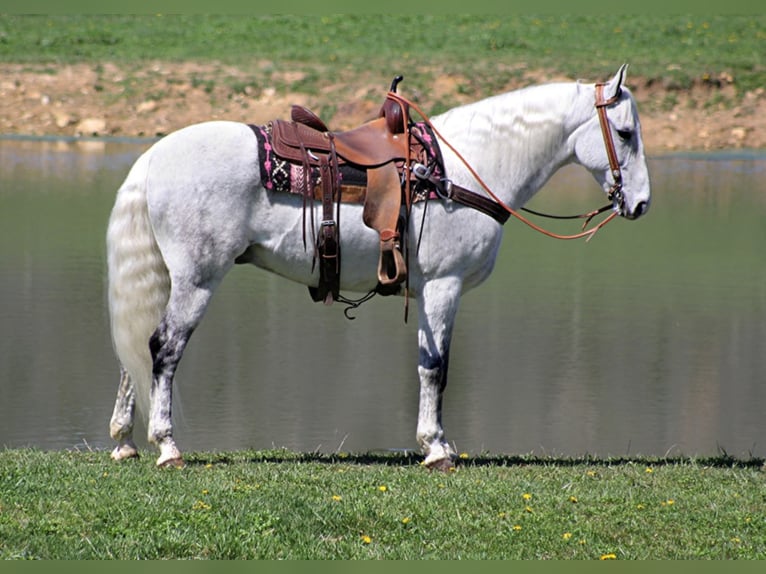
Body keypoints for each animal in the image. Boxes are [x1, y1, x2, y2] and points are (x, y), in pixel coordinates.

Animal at [105, 65, 652, 470]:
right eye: (625, 132)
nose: (642, 203)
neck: (463, 169)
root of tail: (154, 154)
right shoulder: (443, 287)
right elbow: (435, 368)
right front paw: (437, 449)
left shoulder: (432, 291)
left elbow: (430, 365)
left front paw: (436, 444)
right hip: (197, 280)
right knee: (164, 349)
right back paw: (167, 446)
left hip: (171, 279)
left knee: (136, 350)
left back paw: (125, 440)